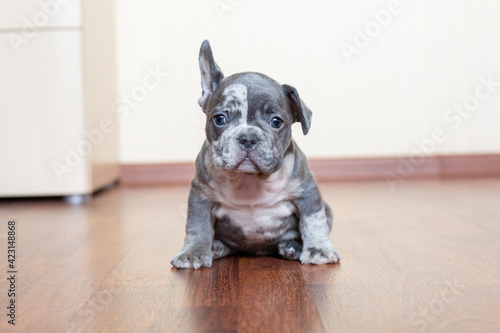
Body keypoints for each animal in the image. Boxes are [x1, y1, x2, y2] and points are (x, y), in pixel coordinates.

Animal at [171, 39, 340, 268]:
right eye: (220, 119)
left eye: (276, 122)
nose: (248, 138)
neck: (249, 179)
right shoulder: (201, 196)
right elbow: (198, 227)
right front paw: (193, 253)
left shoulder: (308, 194)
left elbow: (313, 223)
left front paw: (318, 249)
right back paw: (216, 246)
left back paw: (292, 247)